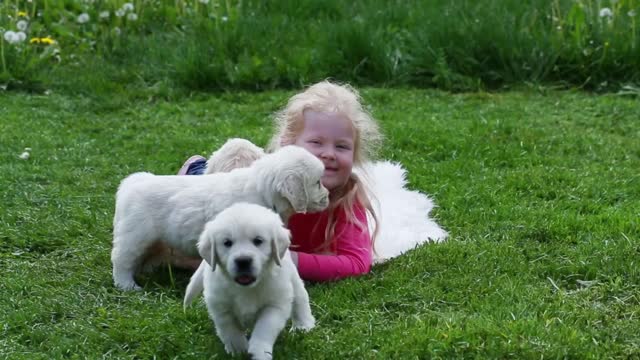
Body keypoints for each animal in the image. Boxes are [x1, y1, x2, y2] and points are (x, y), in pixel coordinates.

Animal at [111, 145, 330, 292]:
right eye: (317, 182)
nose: (328, 197)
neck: (263, 192)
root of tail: (133, 182)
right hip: (135, 235)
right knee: (122, 259)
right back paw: (127, 285)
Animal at [184, 202, 316, 360]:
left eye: (258, 241)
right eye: (227, 243)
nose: (243, 261)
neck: (246, 288)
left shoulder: (275, 305)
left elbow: (264, 329)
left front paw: (259, 353)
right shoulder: (220, 307)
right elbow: (230, 330)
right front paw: (238, 350)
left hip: (293, 280)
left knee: (301, 299)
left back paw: (303, 325)